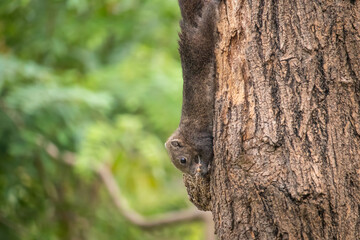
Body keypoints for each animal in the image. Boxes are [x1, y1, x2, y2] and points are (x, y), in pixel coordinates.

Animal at [165, 0, 218, 176]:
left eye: (182, 159)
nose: (194, 173)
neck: (185, 136)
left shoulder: (201, 139)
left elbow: (208, 151)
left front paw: (205, 168)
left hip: (203, 39)